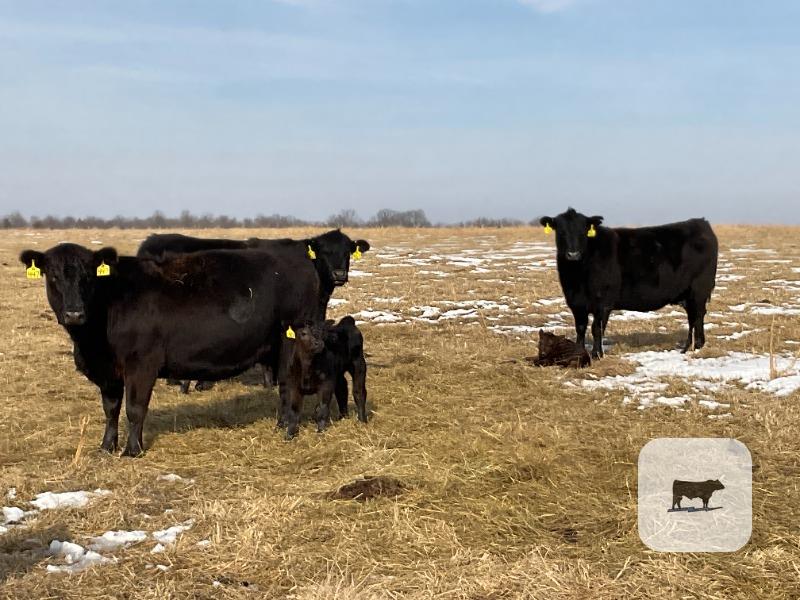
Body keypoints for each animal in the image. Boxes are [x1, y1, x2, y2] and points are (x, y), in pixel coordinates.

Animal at [20, 243, 320, 456]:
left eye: (88, 276)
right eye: (53, 276)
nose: (74, 313)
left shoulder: (141, 364)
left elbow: (134, 408)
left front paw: (133, 450)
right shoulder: (108, 372)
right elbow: (110, 409)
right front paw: (106, 447)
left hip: (292, 341)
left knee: (289, 384)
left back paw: (288, 429)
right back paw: (280, 424)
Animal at [539, 208, 718, 358]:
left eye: (583, 231)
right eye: (560, 231)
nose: (573, 254)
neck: (578, 276)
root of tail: (701, 223)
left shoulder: (603, 302)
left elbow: (596, 329)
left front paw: (596, 354)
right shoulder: (576, 302)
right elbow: (581, 328)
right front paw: (579, 353)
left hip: (699, 289)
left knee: (698, 316)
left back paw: (696, 346)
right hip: (688, 294)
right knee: (693, 317)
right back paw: (690, 346)